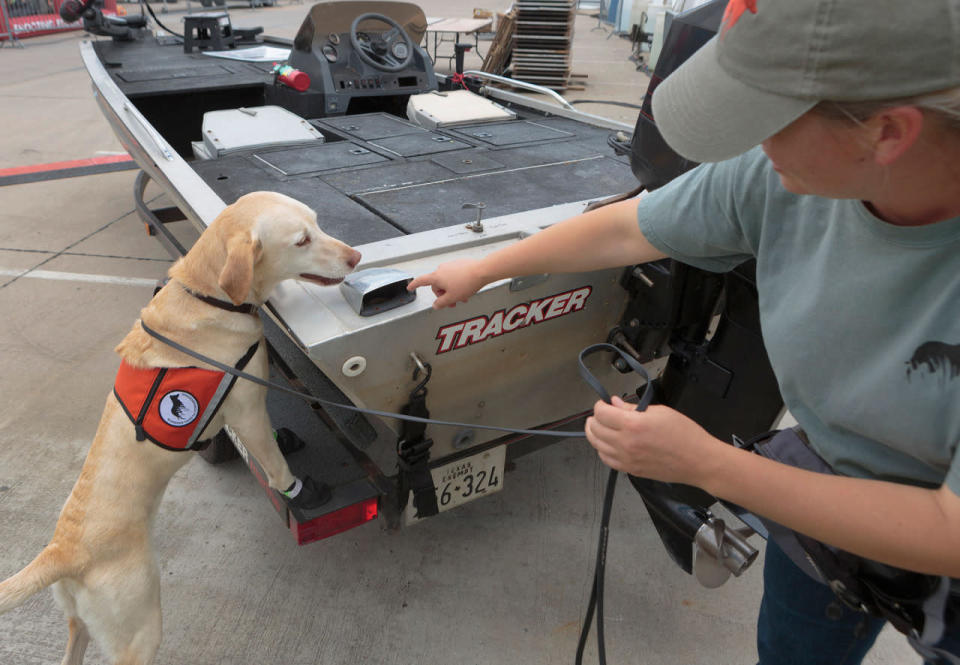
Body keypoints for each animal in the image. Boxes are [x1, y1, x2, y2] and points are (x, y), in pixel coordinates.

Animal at [0, 191, 362, 664]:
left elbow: (269, 443)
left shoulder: (246, 407)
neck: (209, 295)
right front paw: (299, 489)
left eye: (318, 224)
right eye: (302, 240)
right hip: (139, 629)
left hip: (80, 622)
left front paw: (286, 440)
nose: (356, 256)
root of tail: (64, 550)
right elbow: (274, 463)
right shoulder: (247, 408)